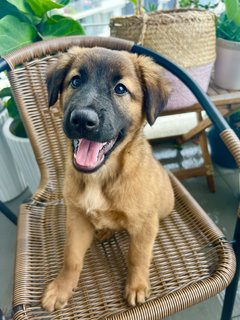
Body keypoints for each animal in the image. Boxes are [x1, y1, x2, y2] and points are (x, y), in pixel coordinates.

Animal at [41, 47, 174, 312]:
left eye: (120, 89)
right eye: (75, 81)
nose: (83, 120)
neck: (100, 177)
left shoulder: (144, 224)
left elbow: (138, 256)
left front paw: (136, 286)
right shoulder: (77, 217)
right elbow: (71, 257)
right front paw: (61, 288)